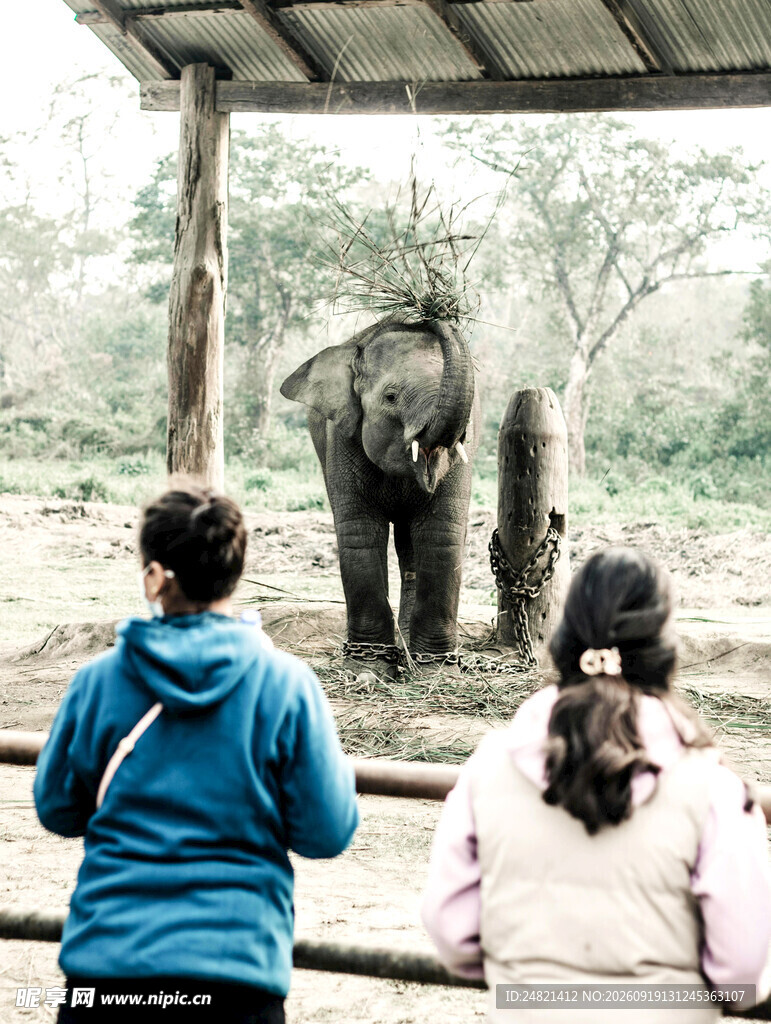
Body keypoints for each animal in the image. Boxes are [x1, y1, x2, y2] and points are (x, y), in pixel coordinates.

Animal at [280, 316, 479, 663]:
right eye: (391, 397)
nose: (431, 314)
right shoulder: (342, 438)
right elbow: (360, 532)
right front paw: (368, 665)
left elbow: (440, 532)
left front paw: (437, 669)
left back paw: (410, 651)